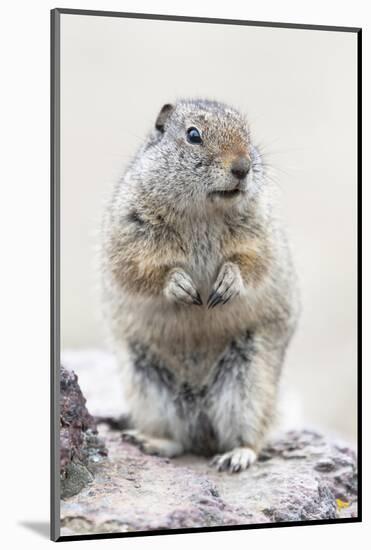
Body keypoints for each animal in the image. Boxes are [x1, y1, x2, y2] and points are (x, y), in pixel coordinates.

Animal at [101, 99, 300, 474]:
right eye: (193, 135)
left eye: (247, 132)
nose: (242, 167)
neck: (203, 212)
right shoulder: (129, 233)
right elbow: (138, 269)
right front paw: (179, 285)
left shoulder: (260, 233)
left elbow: (253, 262)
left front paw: (228, 283)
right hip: (147, 385)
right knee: (180, 440)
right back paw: (150, 441)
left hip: (250, 383)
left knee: (249, 436)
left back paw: (236, 456)